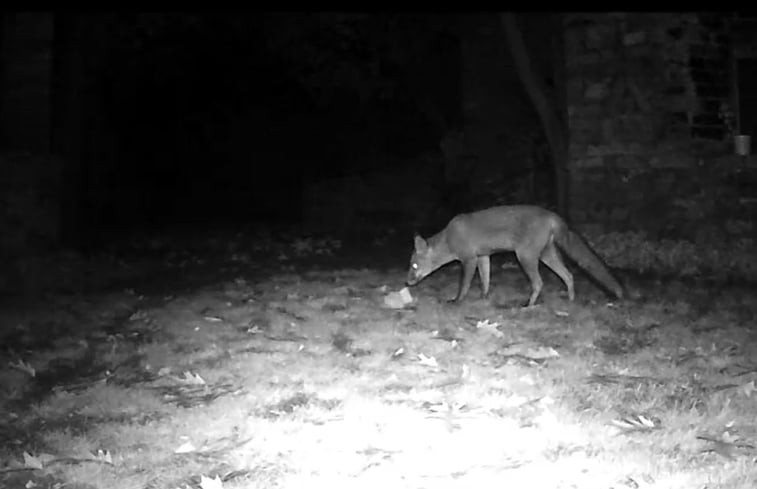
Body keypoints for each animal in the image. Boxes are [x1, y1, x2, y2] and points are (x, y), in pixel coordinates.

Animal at [404, 205, 624, 304]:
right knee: (568, 275)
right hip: (546, 256)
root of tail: (552, 214)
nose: (407, 282)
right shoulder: (483, 257)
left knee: (539, 282)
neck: (449, 237)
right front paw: (484, 297)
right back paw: (570, 300)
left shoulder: (469, 259)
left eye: (414, 266)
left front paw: (457, 301)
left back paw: (528, 305)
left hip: (525, 257)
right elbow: (485, 280)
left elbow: (464, 284)